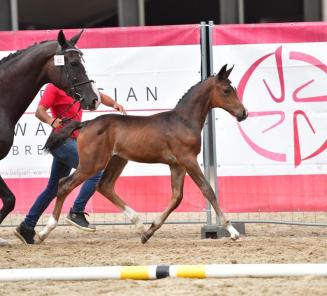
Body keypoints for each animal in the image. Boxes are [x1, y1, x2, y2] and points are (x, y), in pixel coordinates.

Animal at [39, 65, 247, 243]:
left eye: (234, 88)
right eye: (226, 90)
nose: (243, 113)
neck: (183, 121)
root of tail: (85, 124)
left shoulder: (177, 165)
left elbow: (176, 197)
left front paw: (149, 232)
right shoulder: (188, 159)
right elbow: (207, 190)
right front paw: (232, 231)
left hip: (117, 160)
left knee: (104, 186)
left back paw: (139, 224)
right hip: (91, 164)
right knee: (64, 185)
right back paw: (44, 232)